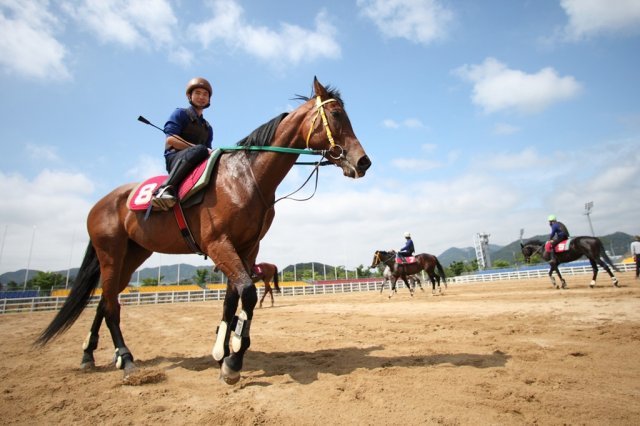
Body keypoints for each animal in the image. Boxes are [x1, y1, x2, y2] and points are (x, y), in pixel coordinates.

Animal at [35, 77, 372, 386]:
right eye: (337, 115)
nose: (363, 162)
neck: (245, 177)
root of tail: (100, 202)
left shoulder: (247, 249)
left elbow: (231, 301)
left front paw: (223, 352)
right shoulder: (219, 244)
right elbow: (247, 295)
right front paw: (233, 360)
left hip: (132, 255)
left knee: (107, 301)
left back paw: (90, 355)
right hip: (110, 253)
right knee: (110, 305)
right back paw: (127, 360)